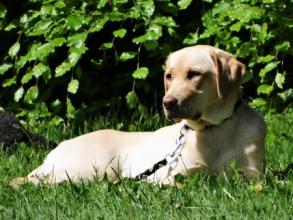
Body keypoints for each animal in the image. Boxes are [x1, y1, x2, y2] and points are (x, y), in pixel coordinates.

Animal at [10, 45, 264, 186]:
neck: (213, 128)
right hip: (88, 170)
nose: (167, 103)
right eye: (169, 76)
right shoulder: (169, 176)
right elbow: (177, 185)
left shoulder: (253, 176)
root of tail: (57, 148)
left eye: (194, 74)